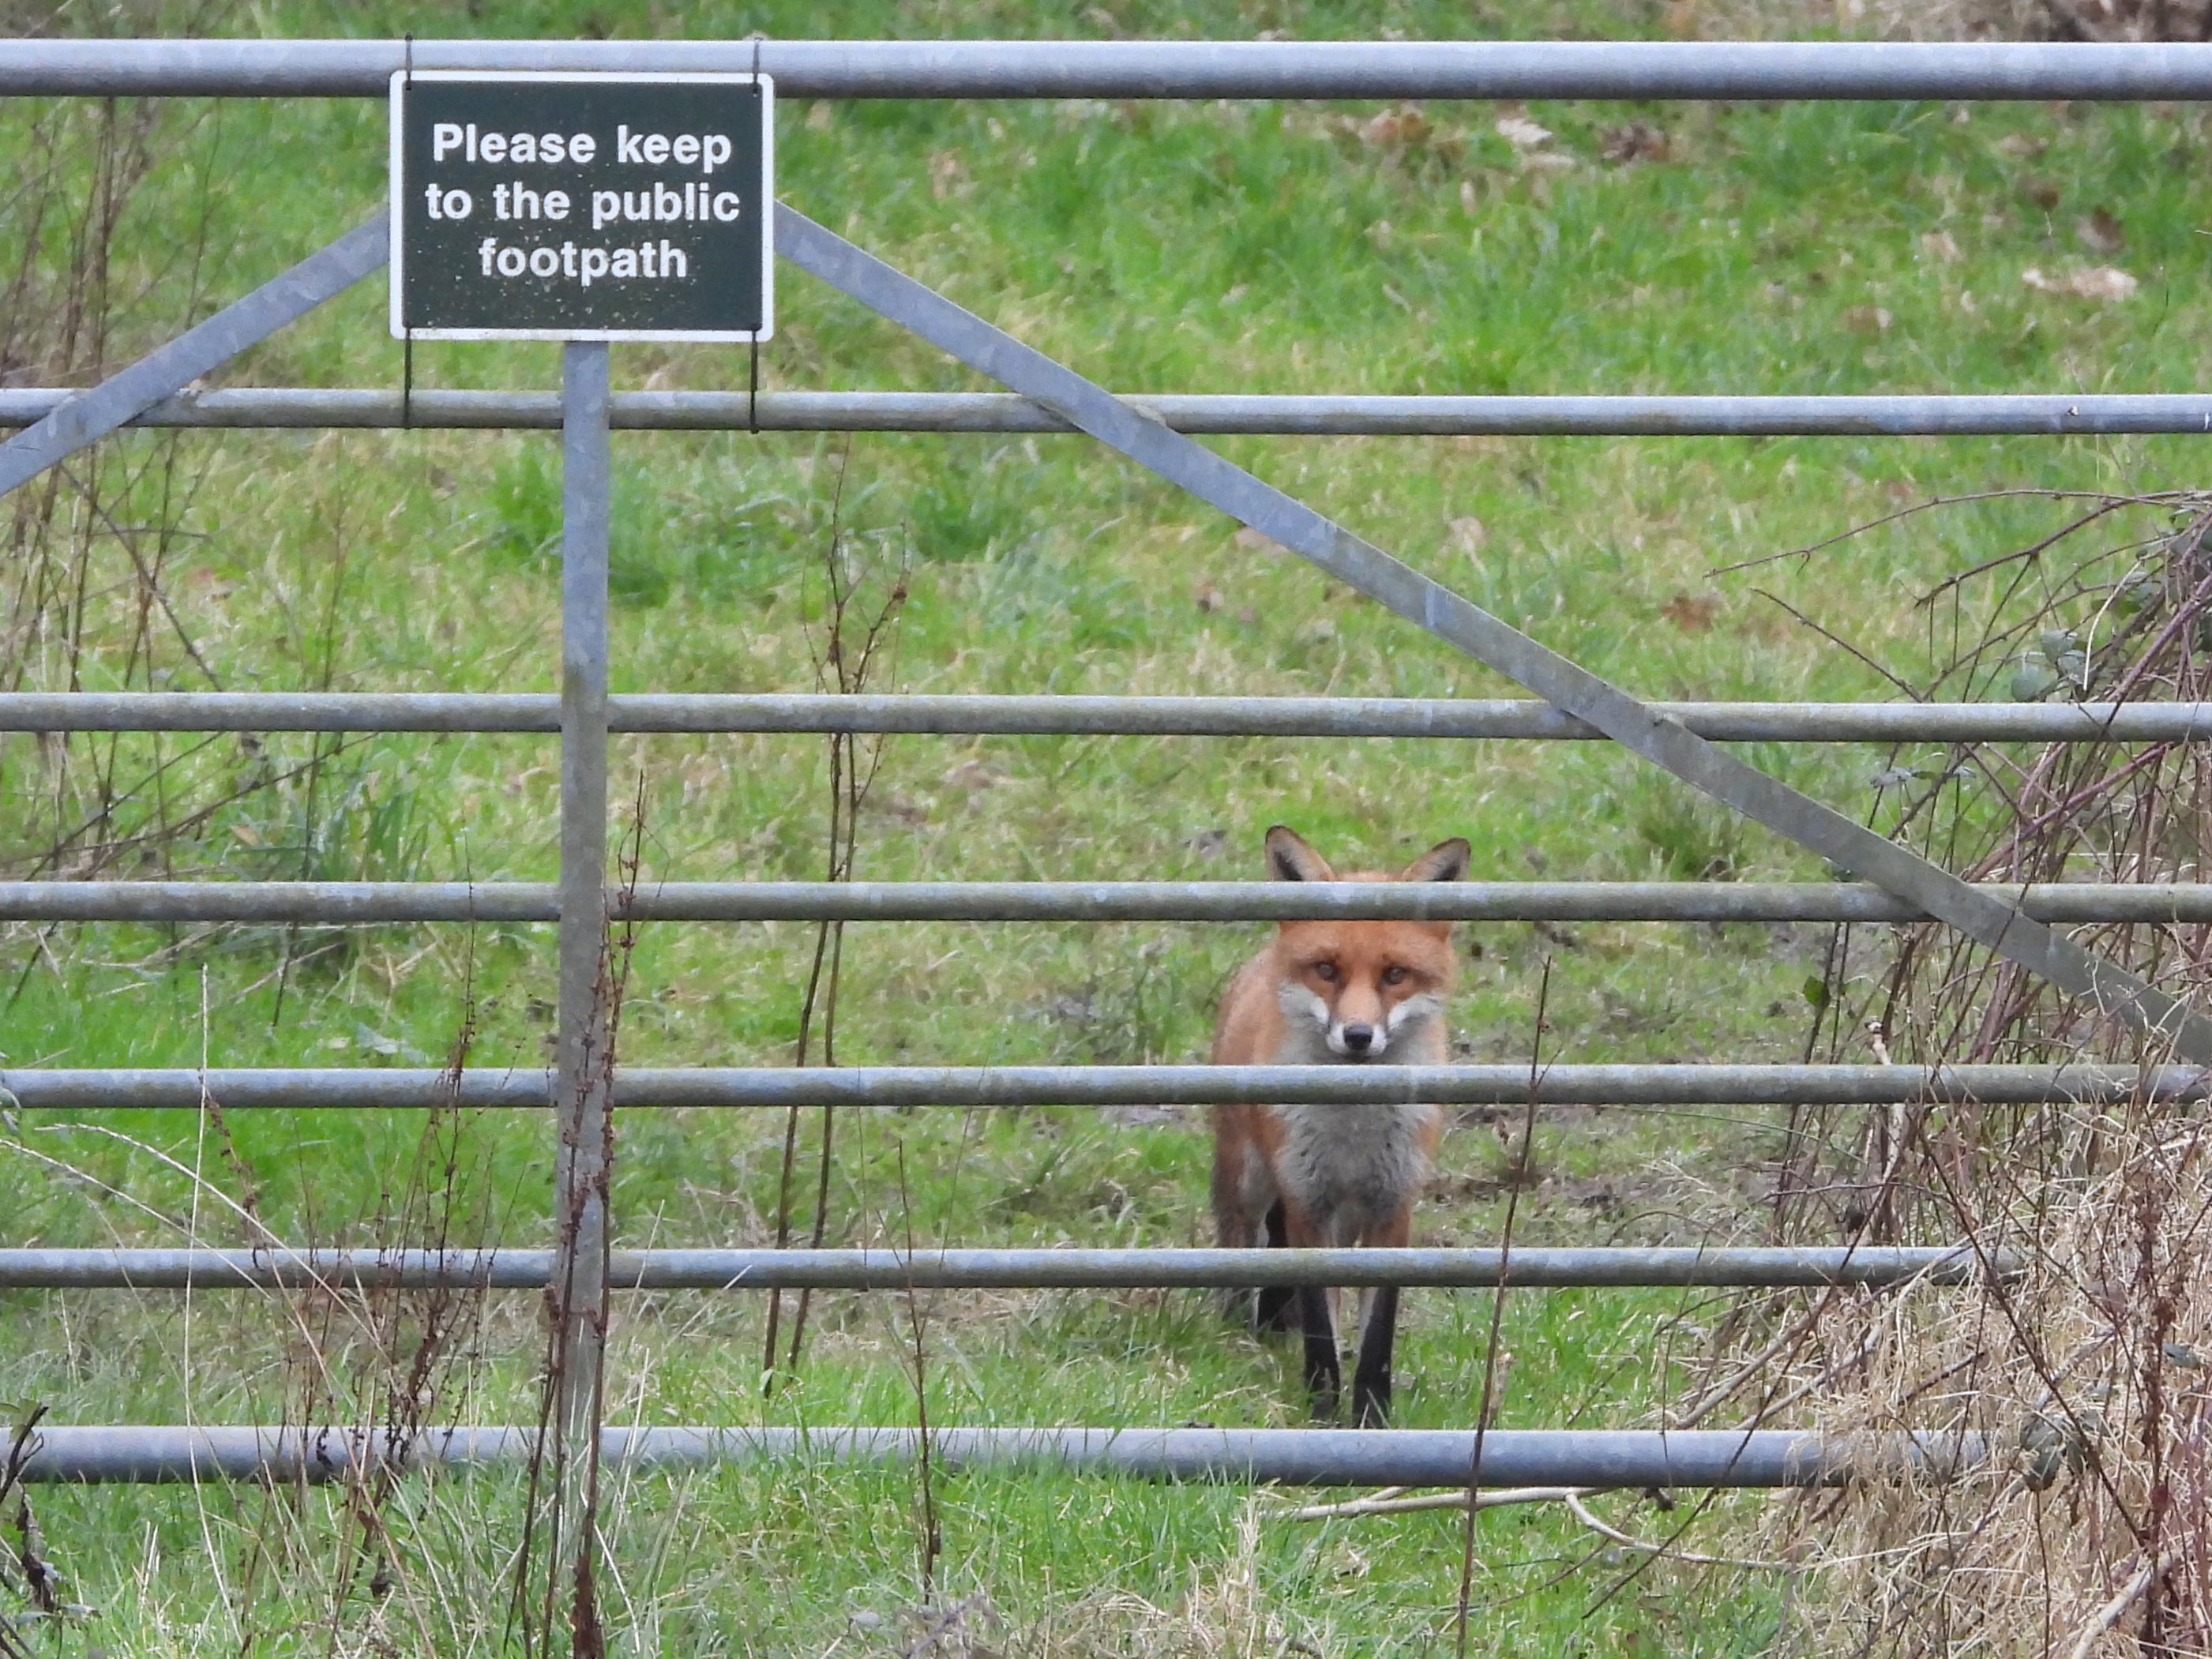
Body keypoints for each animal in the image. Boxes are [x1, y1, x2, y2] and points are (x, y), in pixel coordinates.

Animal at [1210, 824, 1470, 1426]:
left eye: (1394, 975)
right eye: (1327, 969)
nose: (1356, 1036)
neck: (1352, 1133)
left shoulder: (1393, 1206)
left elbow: (1377, 1334)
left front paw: (1372, 1414)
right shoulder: (1308, 1201)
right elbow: (1318, 1323)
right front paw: (1323, 1408)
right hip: (1249, 1180)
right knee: (1244, 1243)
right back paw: (1241, 1328)